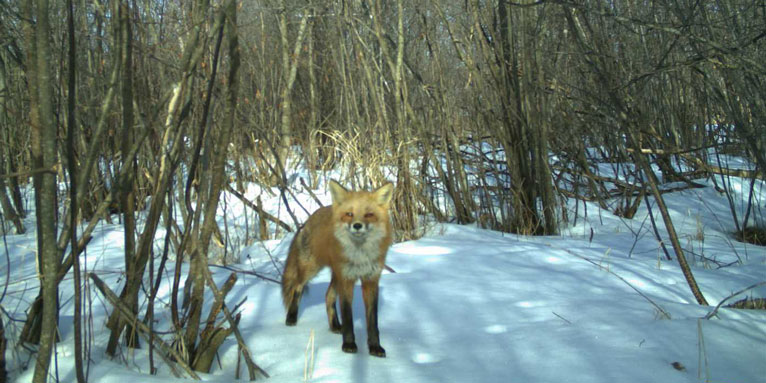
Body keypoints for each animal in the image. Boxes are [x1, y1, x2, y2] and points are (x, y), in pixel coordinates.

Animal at [284, 182, 400, 358]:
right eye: (349, 214)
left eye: (369, 215)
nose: (357, 225)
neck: (360, 256)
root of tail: (312, 216)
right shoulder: (347, 280)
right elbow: (348, 316)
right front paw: (349, 344)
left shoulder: (370, 280)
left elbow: (372, 321)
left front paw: (375, 347)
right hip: (312, 268)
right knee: (297, 287)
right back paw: (291, 318)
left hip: (336, 274)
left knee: (328, 296)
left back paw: (334, 326)